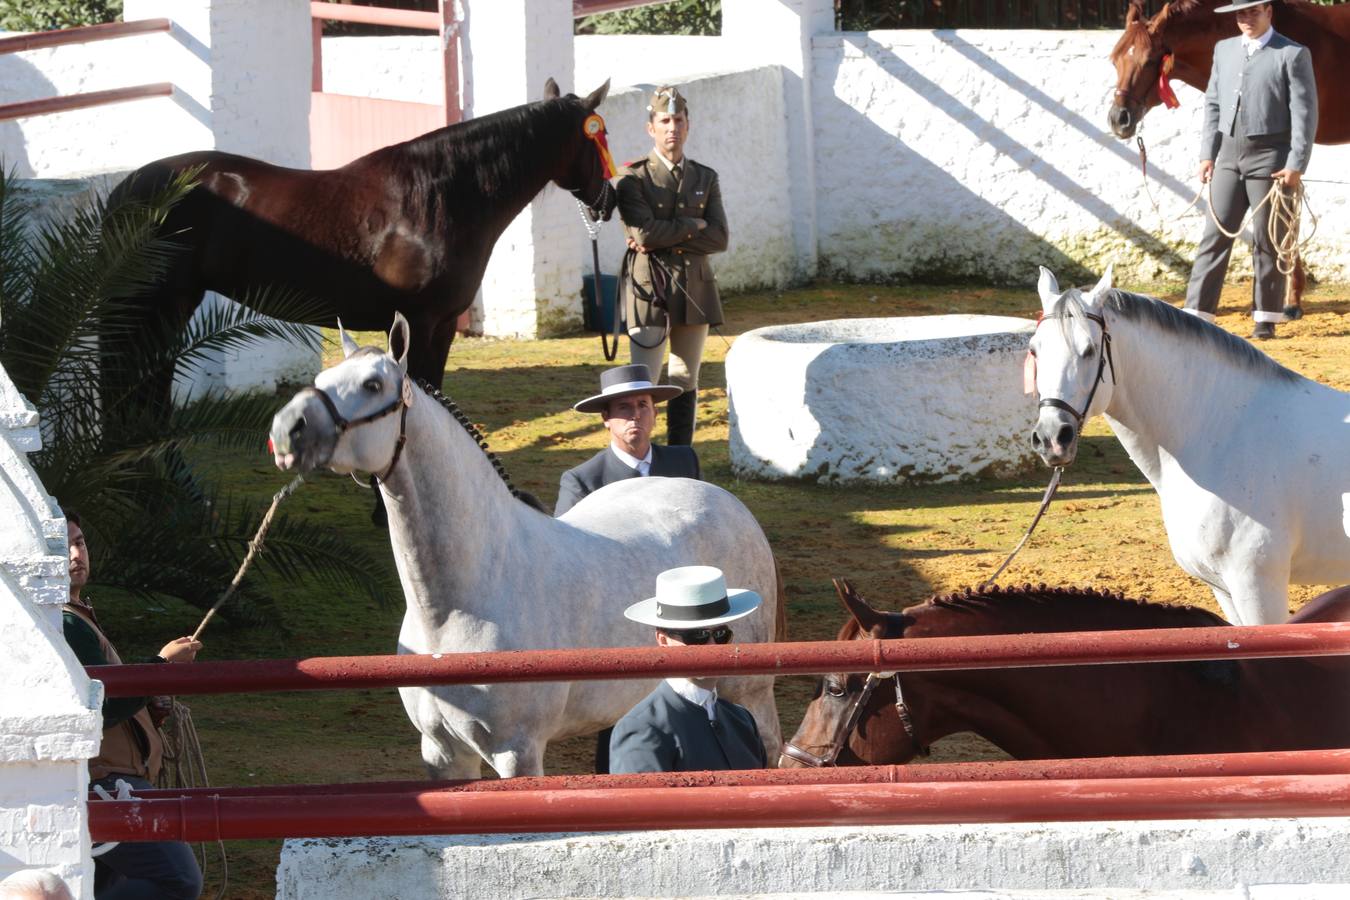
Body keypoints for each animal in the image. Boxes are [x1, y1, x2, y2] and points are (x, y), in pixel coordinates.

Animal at [108, 79, 615, 407]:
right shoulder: (418, 324)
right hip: (155, 305)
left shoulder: (444, 327)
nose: (608, 200)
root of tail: (128, 187)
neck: (440, 199)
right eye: (598, 137)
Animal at [268, 315, 788, 777]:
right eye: (320, 378)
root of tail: (726, 501)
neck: (460, 605)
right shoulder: (441, 752)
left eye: (373, 384)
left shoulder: (516, 752)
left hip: (749, 693)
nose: (286, 430)